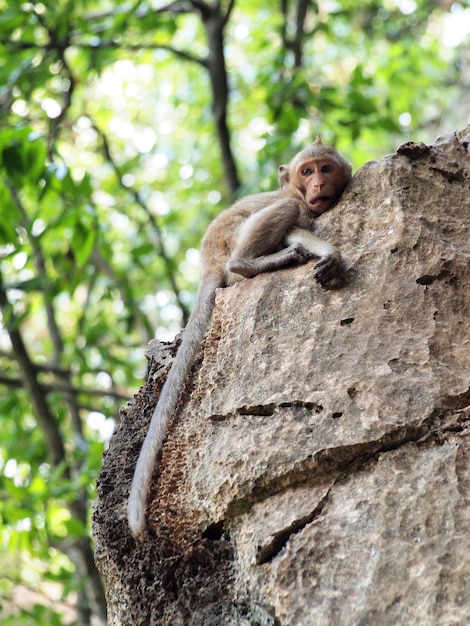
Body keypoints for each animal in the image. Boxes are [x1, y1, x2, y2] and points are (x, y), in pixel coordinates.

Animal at [126, 134, 350, 532]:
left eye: (326, 168)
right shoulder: (298, 203)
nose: (318, 186)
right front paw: (329, 251)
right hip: (231, 243)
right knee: (269, 226)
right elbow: (293, 223)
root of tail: (207, 263)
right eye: (307, 171)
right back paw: (248, 264)